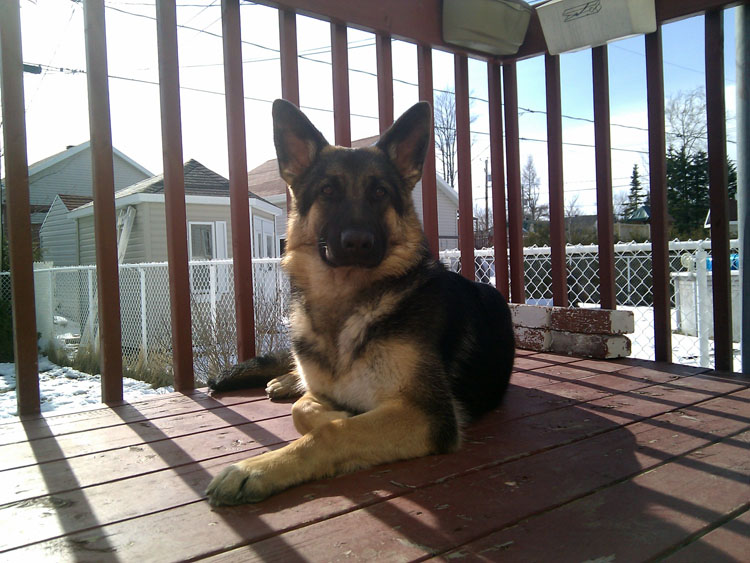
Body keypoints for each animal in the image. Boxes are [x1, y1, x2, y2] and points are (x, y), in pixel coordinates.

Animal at [204, 100, 516, 506]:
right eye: (328, 191)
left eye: (380, 192)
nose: (357, 242)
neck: (347, 305)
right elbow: (304, 408)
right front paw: (331, 407)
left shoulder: (427, 415)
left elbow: (332, 430)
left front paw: (257, 469)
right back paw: (287, 380)